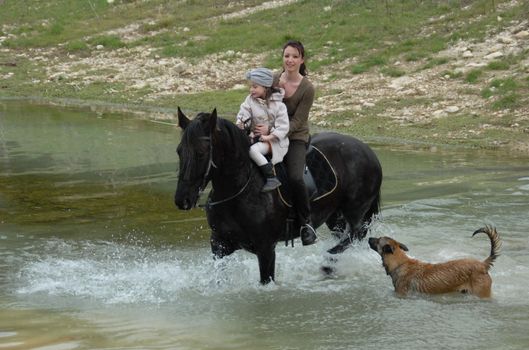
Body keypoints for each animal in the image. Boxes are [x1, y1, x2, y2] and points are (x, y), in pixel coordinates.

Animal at [175, 108, 382, 284]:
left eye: (201, 153)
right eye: (179, 151)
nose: (182, 200)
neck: (240, 190)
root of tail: (368, 151)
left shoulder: (266, 249)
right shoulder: (219, 244)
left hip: (356, 210)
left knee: (354, 235)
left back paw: (328, 258)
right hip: (334, 215)